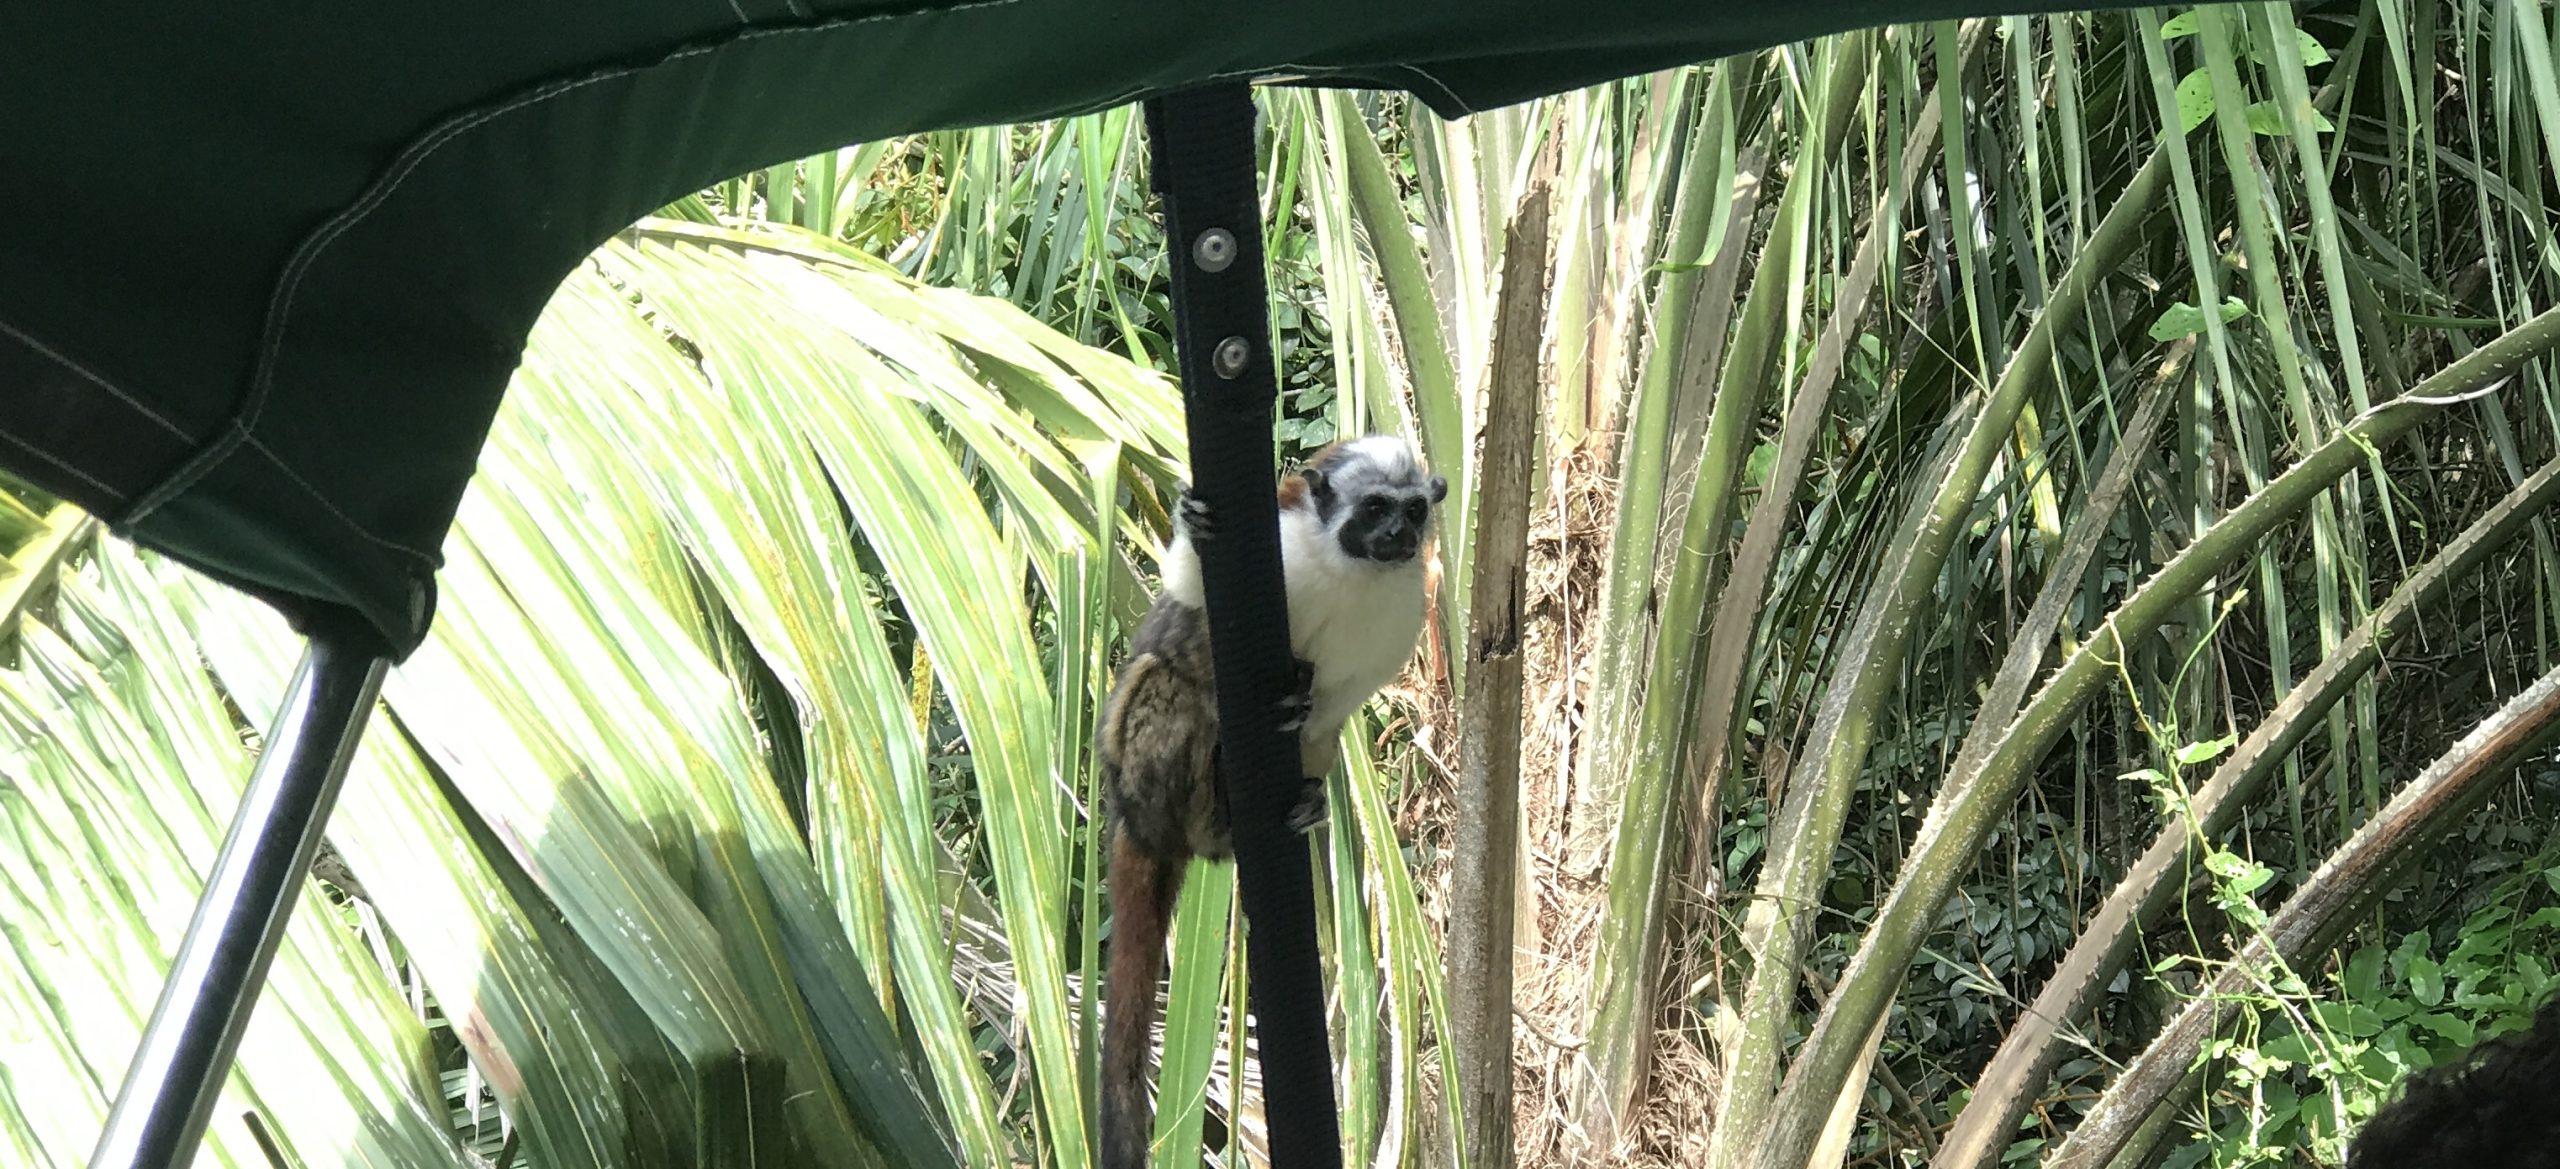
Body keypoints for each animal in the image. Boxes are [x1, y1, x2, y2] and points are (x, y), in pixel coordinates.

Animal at [1096, 434, 1447, 1169]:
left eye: (1410, 510)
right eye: (1375, 509)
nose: (1399, 536)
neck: (1353, 571)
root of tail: (1133, 818)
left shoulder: (1402, 608)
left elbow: (1337, 702)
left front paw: (1309, 711)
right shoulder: (1282, 548)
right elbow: (1190, 599)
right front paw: (1193, 525)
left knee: (1319, 737)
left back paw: (1293, 800)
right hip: (1139, 771)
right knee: (1172, 682)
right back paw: (1211, 818)